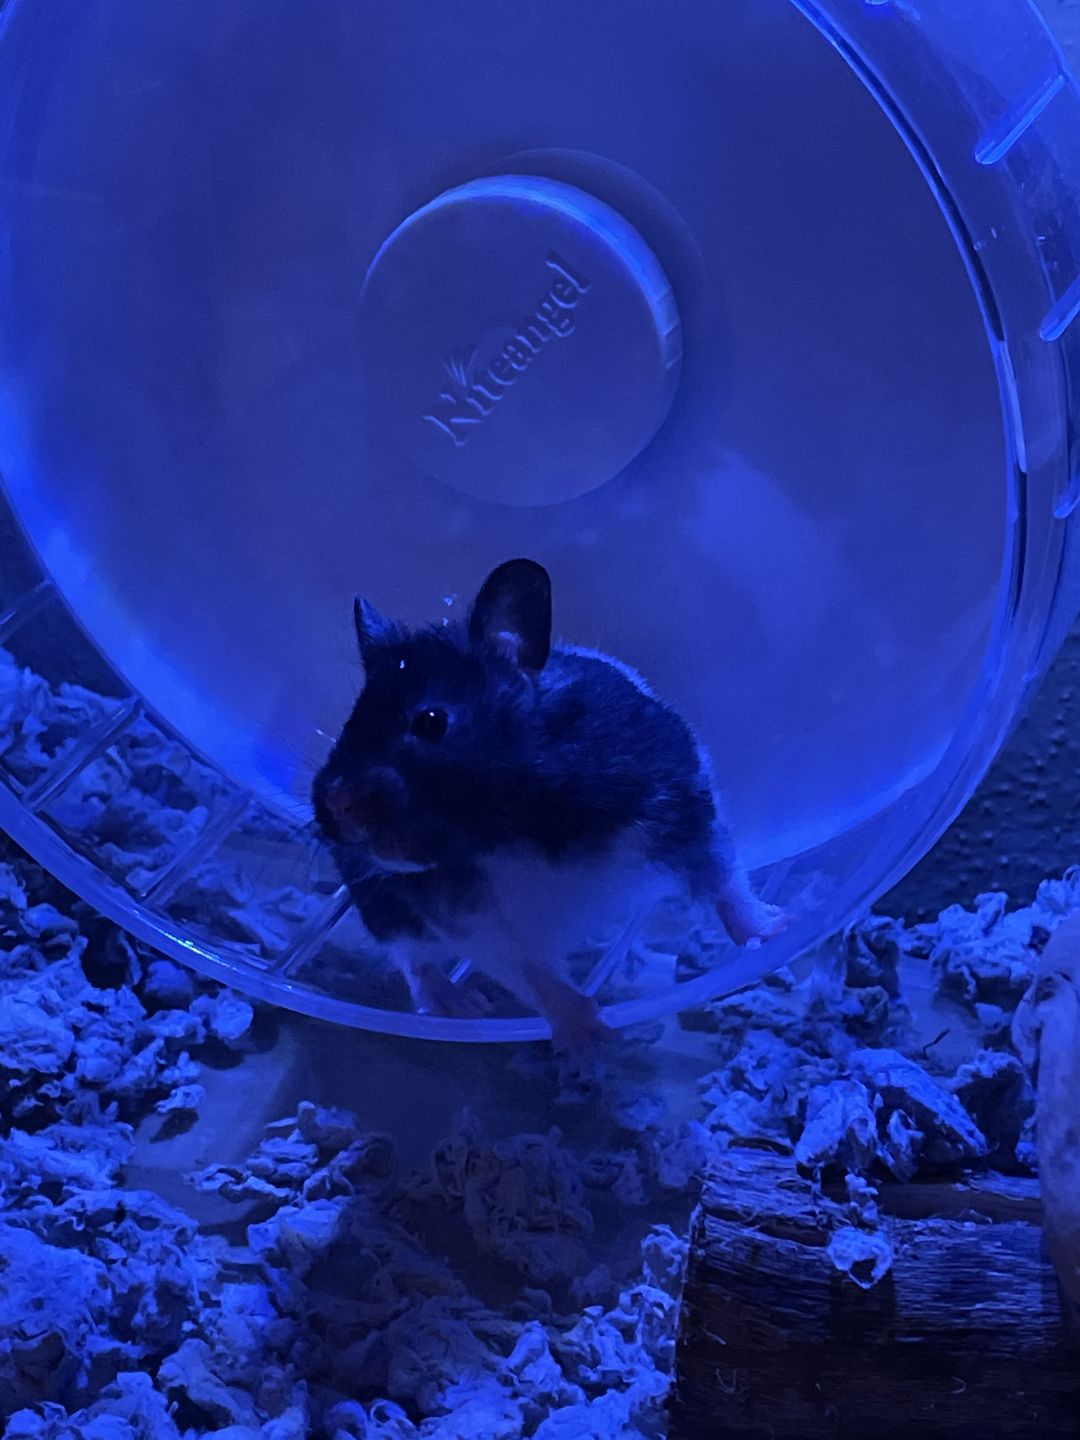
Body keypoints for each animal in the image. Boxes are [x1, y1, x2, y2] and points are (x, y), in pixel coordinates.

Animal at [312, 558, 788, 1052]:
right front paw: (591, 1040)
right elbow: (528, 970)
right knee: (415, 959)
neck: (523, 825)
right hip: (383, 906)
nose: (333, 805)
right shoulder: (470, 919)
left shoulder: (682, 812)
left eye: (430, 721)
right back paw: (460, 1006)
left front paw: (775, 932)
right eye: (350, 722)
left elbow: (725, 882)